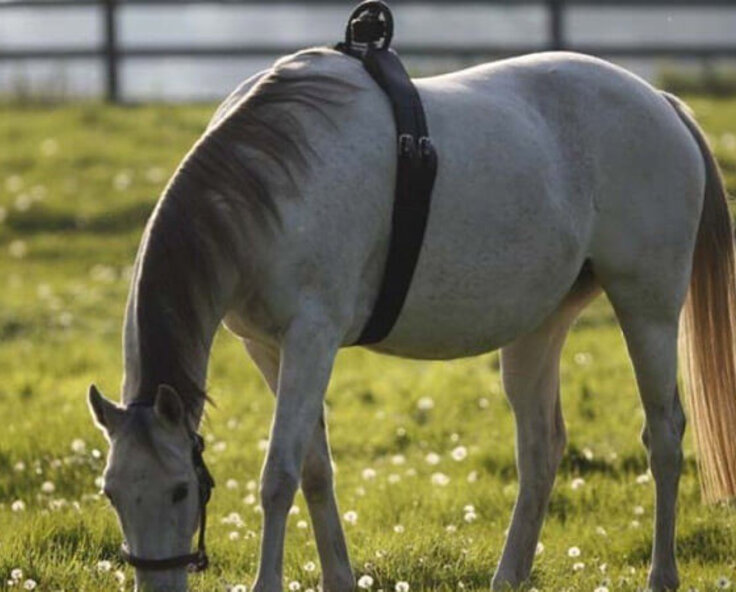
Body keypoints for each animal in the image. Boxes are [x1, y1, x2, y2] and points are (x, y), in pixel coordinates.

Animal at [87, 47, 736, 592]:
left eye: (181, 491)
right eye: (111, 493)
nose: (160, 585)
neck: (272, 178)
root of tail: (662, 105)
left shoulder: (311, 339)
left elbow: (279, 475)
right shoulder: (266, 347)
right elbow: (315, 469)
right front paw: (339, 579)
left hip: (648, 308)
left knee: (664, 437)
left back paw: (661, 576)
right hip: (541, 325)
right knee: (541, 448)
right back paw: (509, 576)